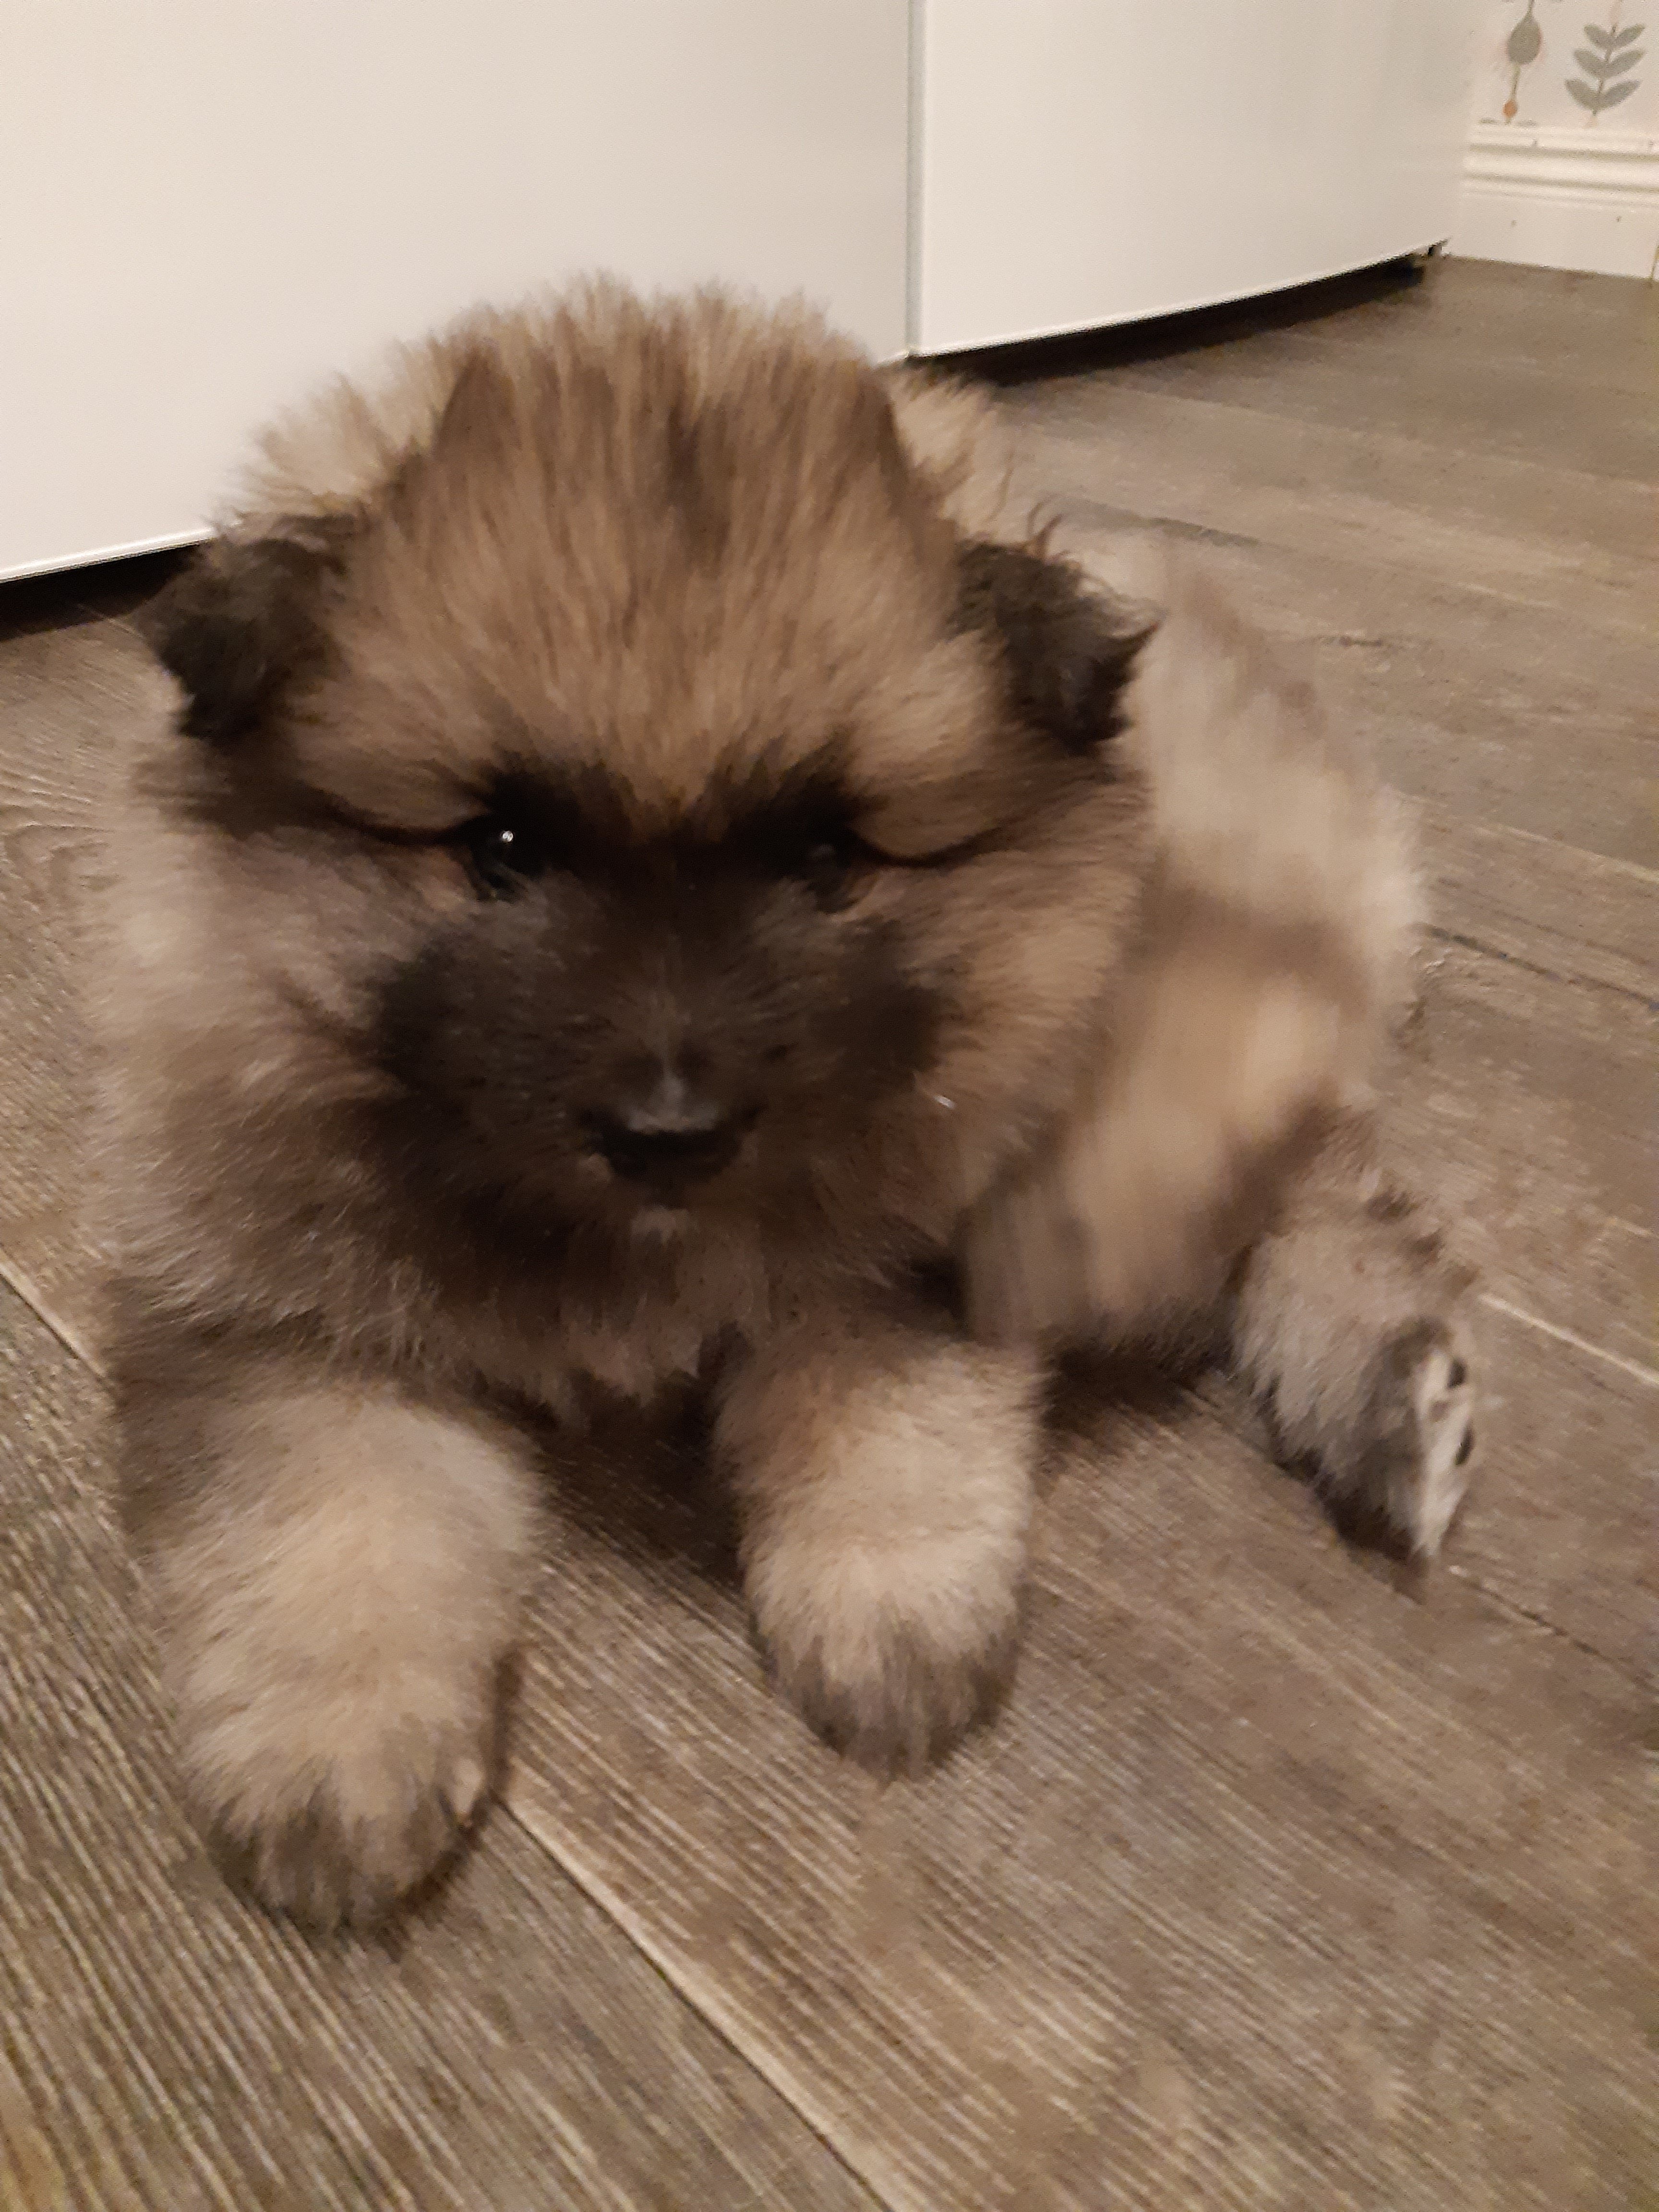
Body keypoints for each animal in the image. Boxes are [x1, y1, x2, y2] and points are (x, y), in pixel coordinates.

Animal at [96, 281, 1478, 1928]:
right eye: (501, 847)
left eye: (828, 857)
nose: (669, 1126)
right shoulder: (274, 1311)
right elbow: (327, 1511)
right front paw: (336, 1750)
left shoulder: (899, 1246)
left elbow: (873, 1404)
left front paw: (889, 1607)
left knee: (1285, 1154)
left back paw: (1381, 1395)